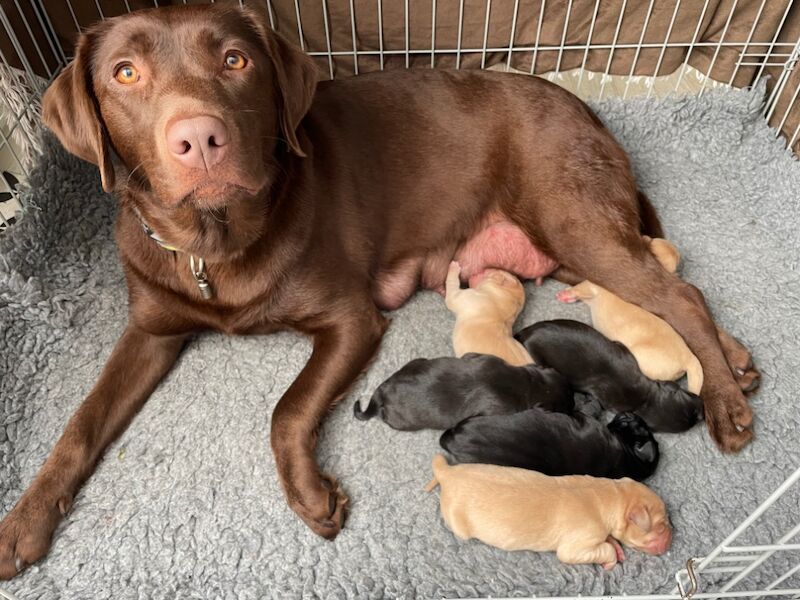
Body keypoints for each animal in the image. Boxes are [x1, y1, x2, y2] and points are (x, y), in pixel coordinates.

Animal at [354, 352, 572, 432]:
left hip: (417, 361)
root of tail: (383, 389)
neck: (529, 384)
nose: (574, 406)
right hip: (401, 422)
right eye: (561, 408)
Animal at [422, 454, 672, 568]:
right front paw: (611, 559)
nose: (672, 538)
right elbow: (594, 550)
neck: (611, 494)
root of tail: (446, 472)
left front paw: (615, 545)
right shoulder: (577, 546)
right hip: (457, 521)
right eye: (661, 526)